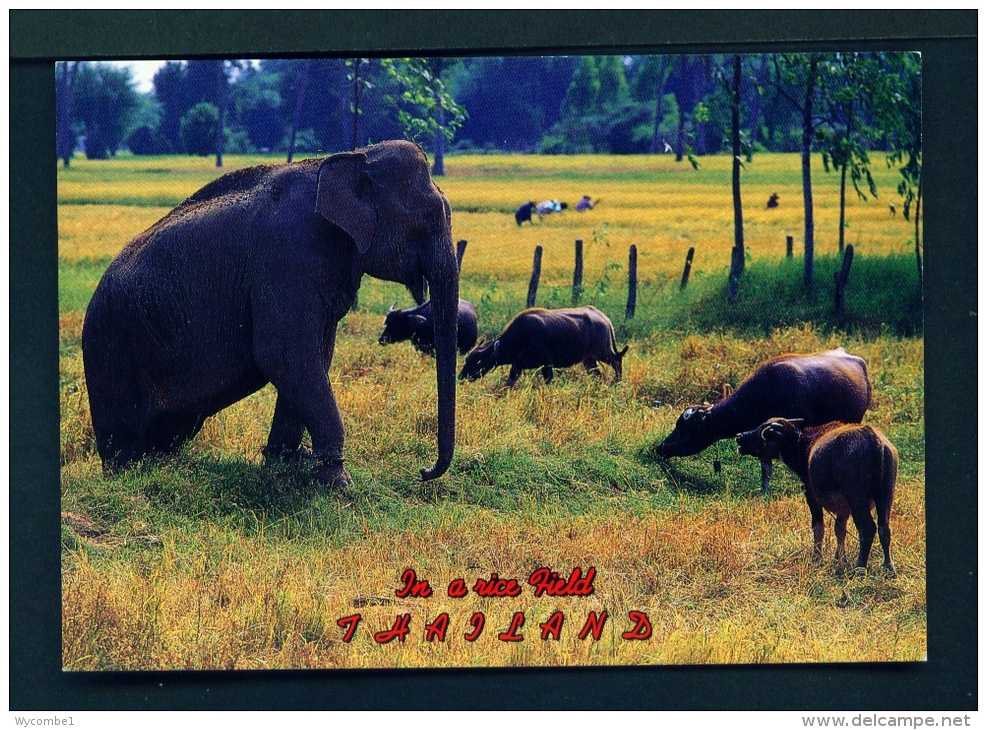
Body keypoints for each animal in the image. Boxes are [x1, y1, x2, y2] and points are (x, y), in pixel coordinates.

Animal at [81, 139, 460, 486]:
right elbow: (283, 353)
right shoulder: (289, 257)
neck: (354, 156)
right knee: (122, 439)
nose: (423, 472)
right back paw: (128, 472)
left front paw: (286, 462)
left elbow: (314, 355)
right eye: (428, 217)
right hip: (111, 354)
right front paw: (337, 481)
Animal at [460, 304, 628, 386]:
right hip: (589, 359)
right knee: (596, 374)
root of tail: (604, 318)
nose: (460, 377)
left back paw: (617, 382)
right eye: (467, 361)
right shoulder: (523, 364)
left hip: (602, 352)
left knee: (616, 360)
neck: (521, 336)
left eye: (477, 361)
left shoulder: (546, 364)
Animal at [736, 416, 900, 576]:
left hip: (856, 497)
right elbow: (839, 530)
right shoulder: (843, 508)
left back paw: (860, 568)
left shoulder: (812, 496)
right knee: (884, 528)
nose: (739, 436)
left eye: (761, 431)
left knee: (867, 528)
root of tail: (873, 439)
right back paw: (889, 568)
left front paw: (817, 557)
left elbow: (818, 528)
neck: (804, 446)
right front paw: (839, 558)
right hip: (885, 494)